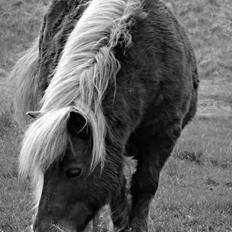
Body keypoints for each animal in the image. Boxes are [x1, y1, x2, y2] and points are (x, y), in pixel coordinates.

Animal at [10, 0, 198, 231]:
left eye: (74, 171)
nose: (45, 228)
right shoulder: (111, 144)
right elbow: (117, 184)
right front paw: (121, 223)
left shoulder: (162, 135)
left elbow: (145, 184)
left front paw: (135, 226)